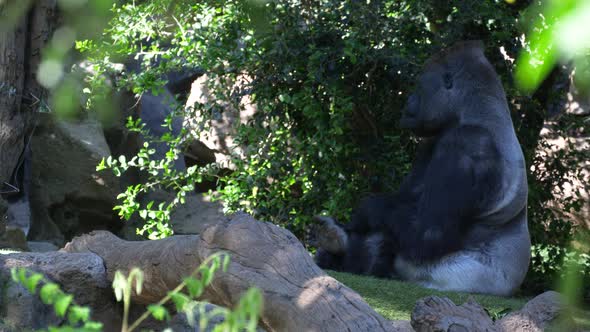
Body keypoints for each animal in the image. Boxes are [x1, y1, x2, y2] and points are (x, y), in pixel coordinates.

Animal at [316, 41, 536, 296]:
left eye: (419, 86)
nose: (408, 100)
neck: (479, 113)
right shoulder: (433, 139)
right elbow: (405, 202)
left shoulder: (467, 143)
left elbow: (427, 234)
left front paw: (367, 209)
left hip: (468, 280)